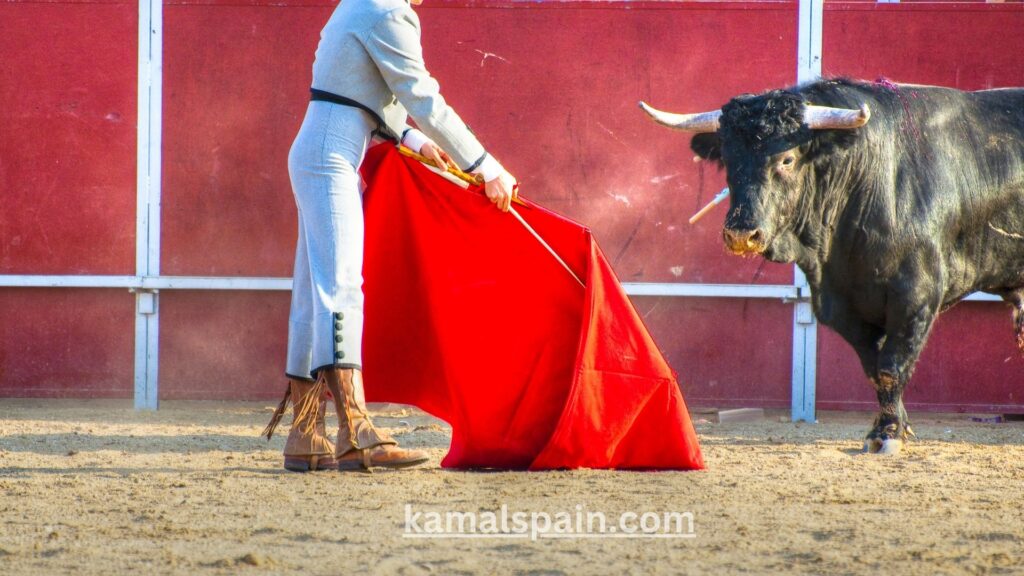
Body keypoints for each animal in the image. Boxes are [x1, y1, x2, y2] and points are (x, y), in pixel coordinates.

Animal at [638, 77, 1024, 453]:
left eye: (787, 159)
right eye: (729, 159)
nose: (741, 234)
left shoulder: (917, 297)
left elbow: (891, 366)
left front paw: (889, 433)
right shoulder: (838, 302)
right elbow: (873, 368)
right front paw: (889, 427)